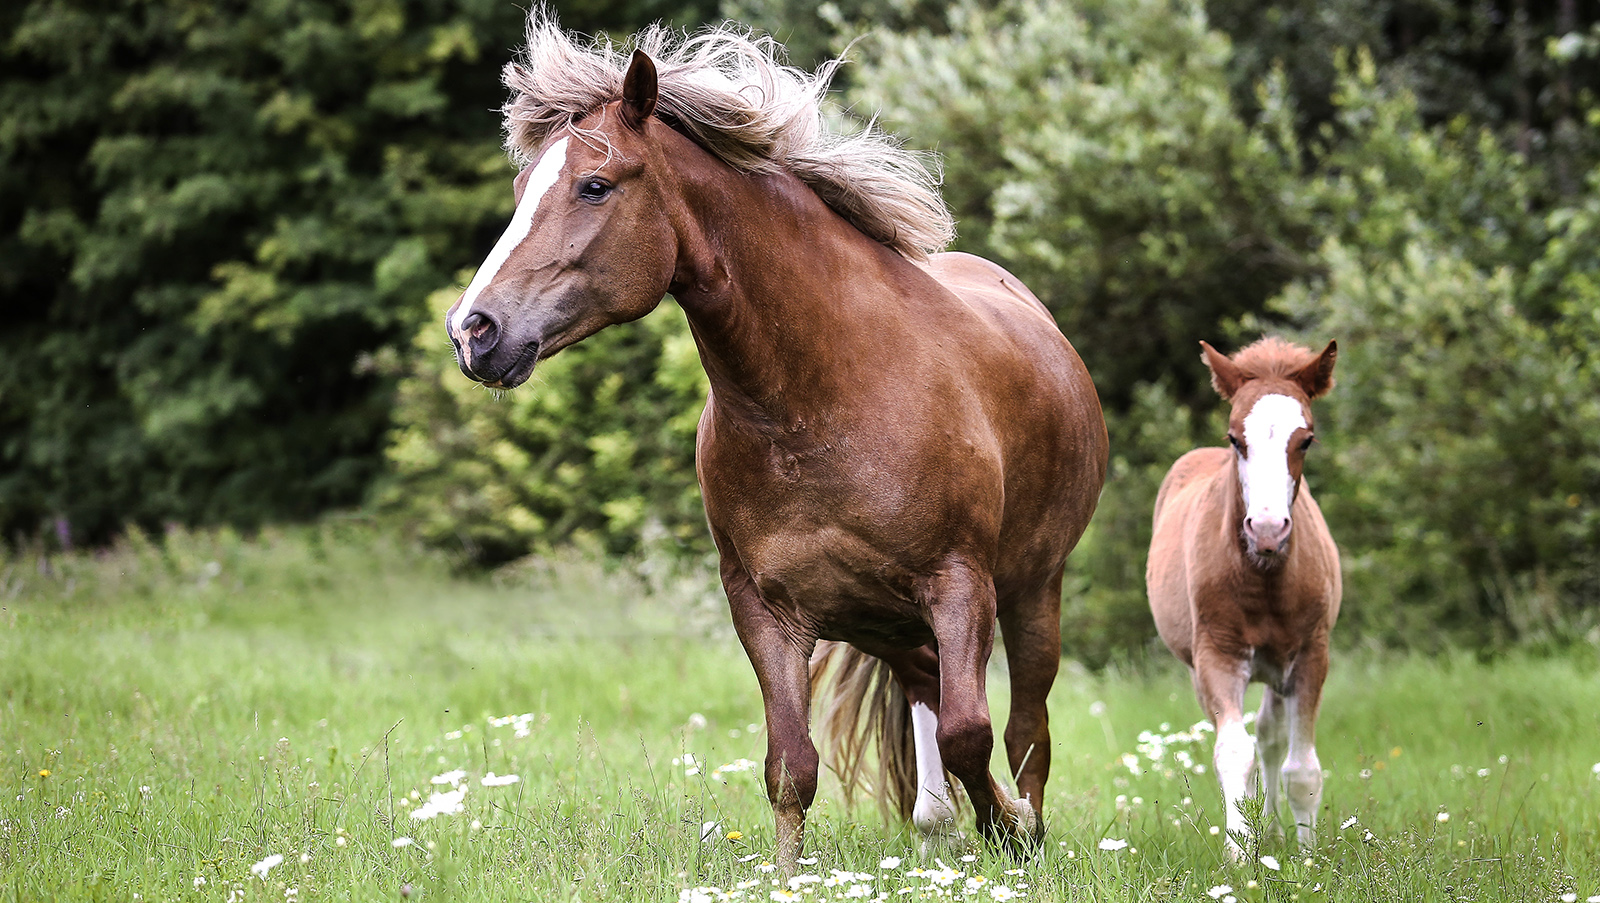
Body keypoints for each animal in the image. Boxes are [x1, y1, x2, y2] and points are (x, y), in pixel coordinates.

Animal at [444, 15, 1107, 877]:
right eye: (524, 190)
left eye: (596, 185)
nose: (474, 331)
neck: (816, 398)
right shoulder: (763, 607)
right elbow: (791, 766)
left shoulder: (960, 584)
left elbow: (972, 733)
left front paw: (1012, 832)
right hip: (889, 623)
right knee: (928, 704)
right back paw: (941, 832)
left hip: (1032, 590)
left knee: (1026, 728)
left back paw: (1020, 824)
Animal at [1152, 336, 1337, 851]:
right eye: (1235, 438)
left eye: (1305, 439)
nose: (1268, 530)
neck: (1265, 580)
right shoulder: (1218, 654)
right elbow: (1233, 752)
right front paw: (1240, 853)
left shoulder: (1311, 655)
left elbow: (1302, 768)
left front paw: (1307, 855)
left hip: (1276, 668)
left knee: (1270, 736)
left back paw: (1271, 827)